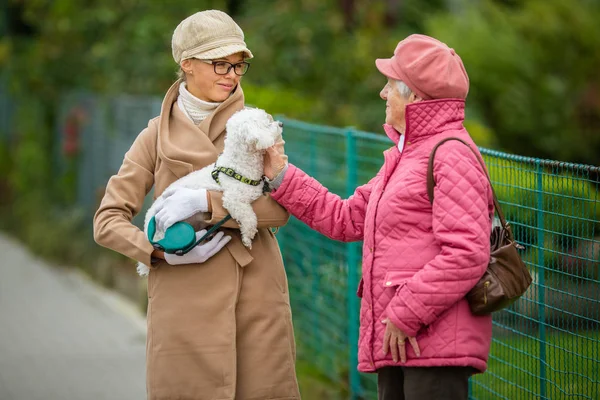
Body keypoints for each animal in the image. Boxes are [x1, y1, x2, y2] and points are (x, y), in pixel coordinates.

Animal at [137, 108, 282, 276]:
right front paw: (247, 237)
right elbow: (249, 217)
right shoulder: (233, 200)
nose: (281, 124)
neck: (238, 167)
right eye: (267, 123)